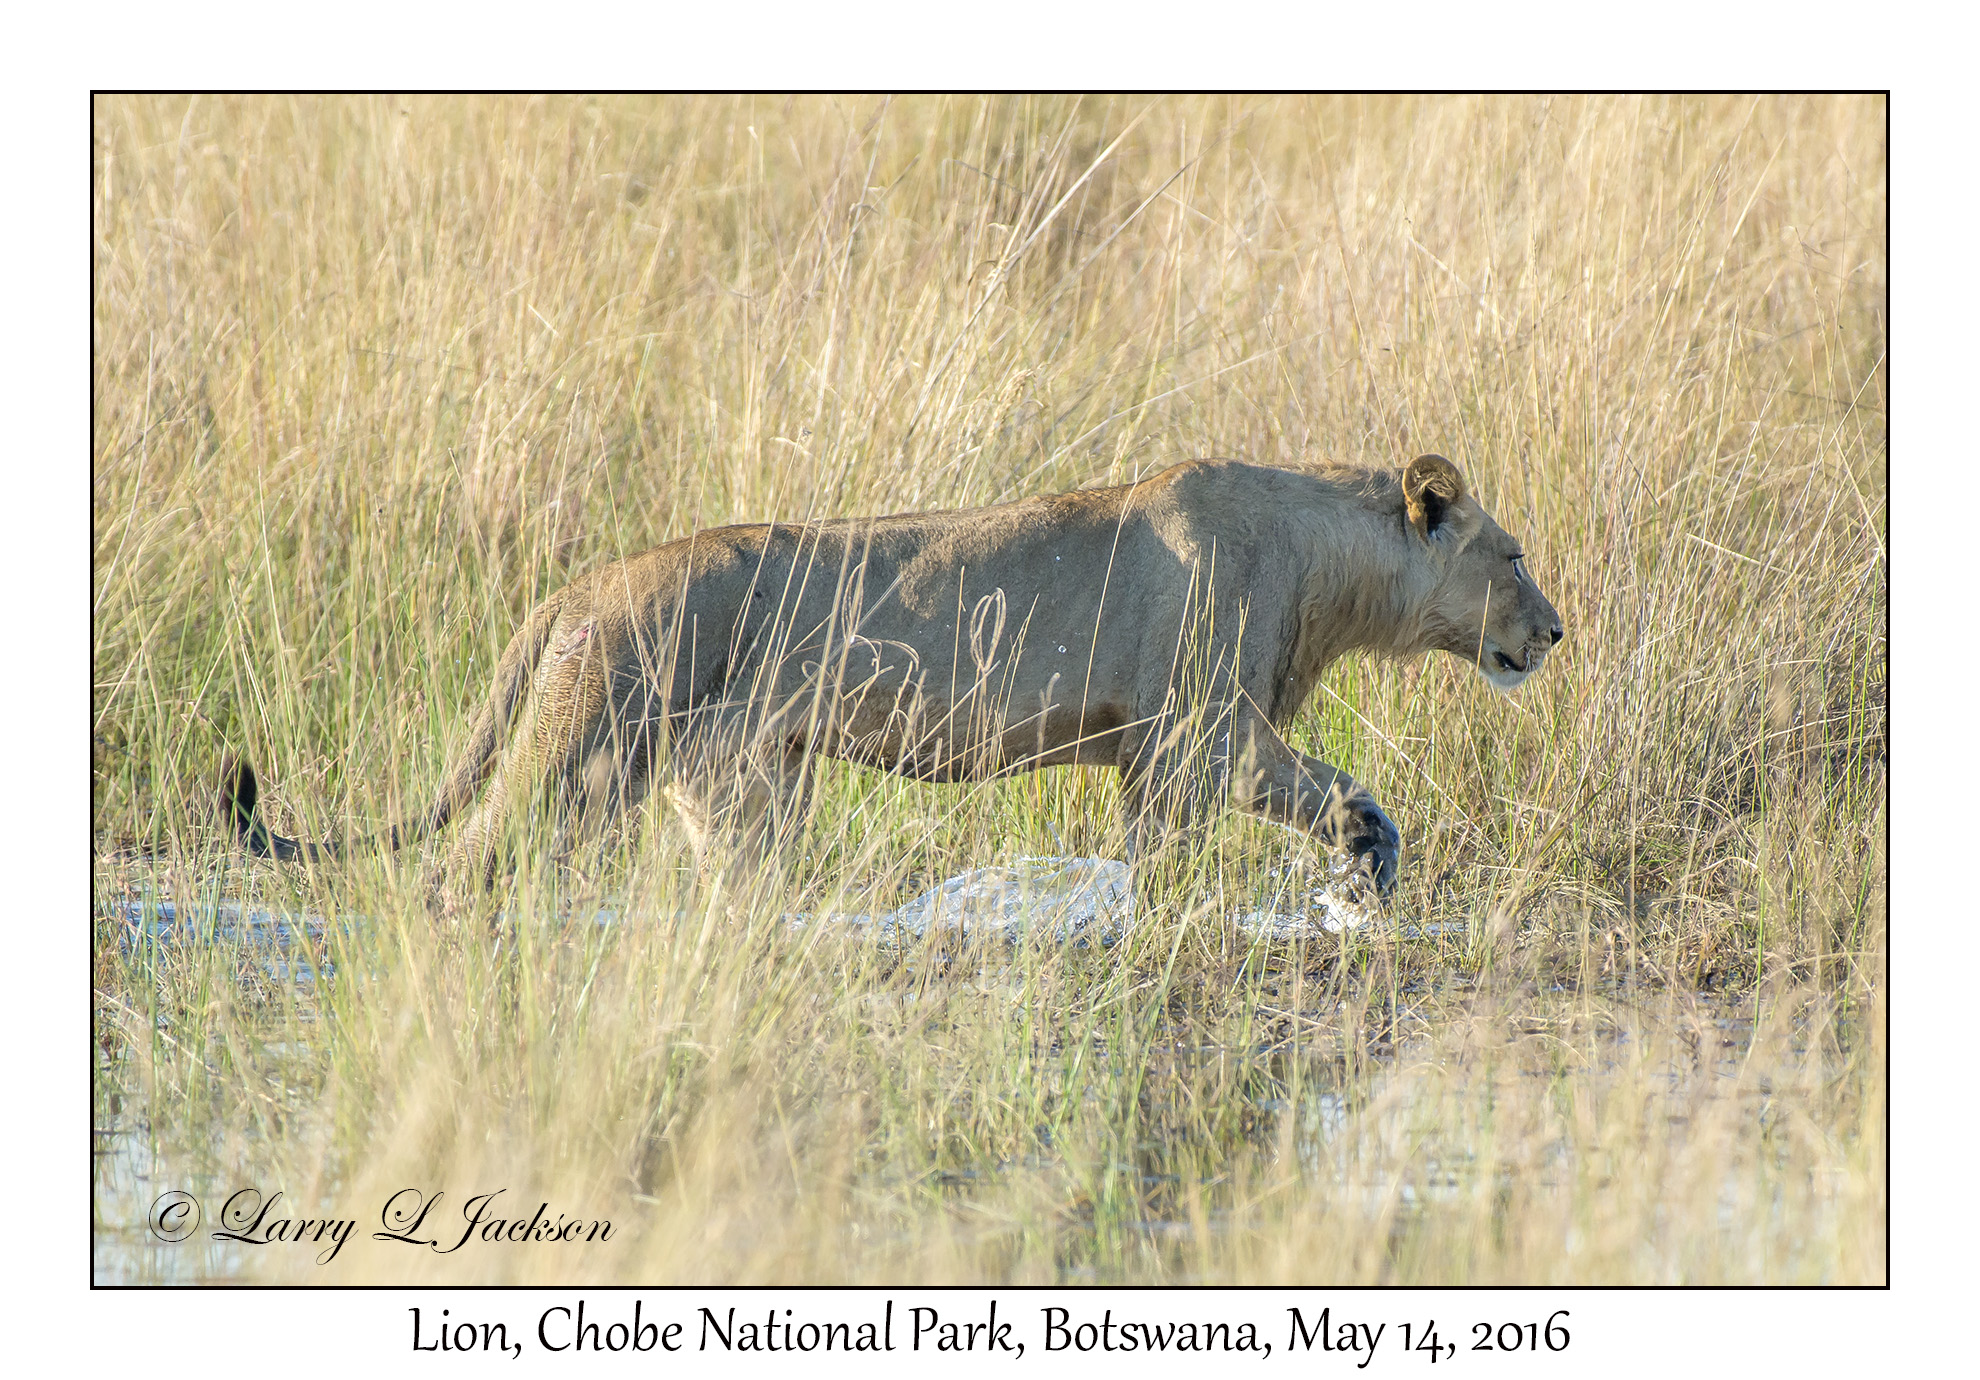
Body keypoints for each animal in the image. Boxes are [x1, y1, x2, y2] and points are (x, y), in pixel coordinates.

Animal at [222, 453, 1562, 901]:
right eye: (1513, 555)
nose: (1556, 633)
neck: (1329, 560)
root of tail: (578, 587)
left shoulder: (1159, 756)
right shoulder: (1201, 737)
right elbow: (1332, 794)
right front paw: (1365, 867)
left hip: (739, 782)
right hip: (585, 755)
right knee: (458, 867)